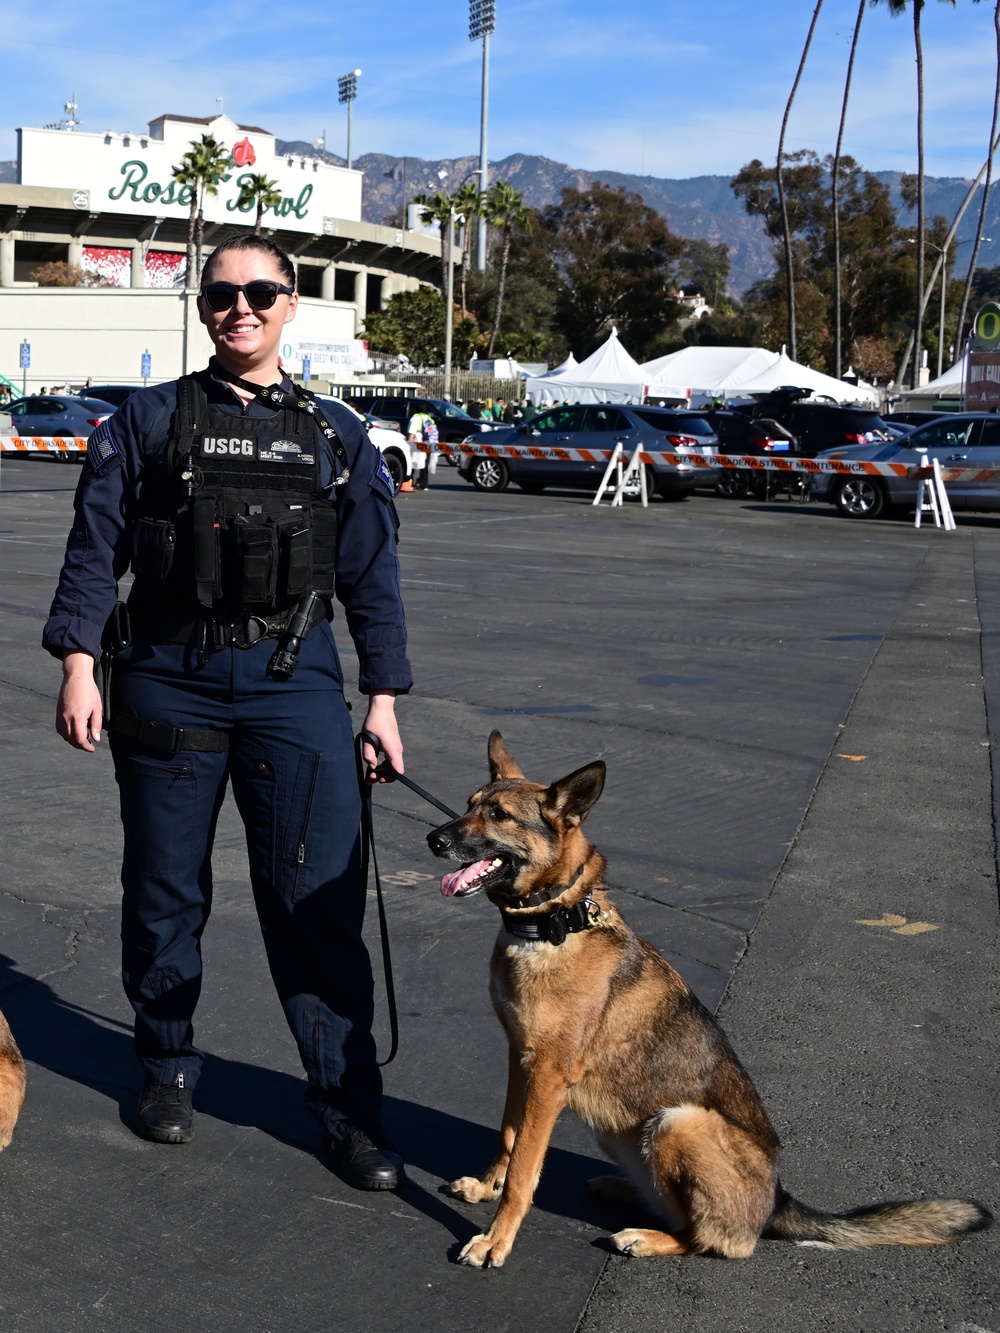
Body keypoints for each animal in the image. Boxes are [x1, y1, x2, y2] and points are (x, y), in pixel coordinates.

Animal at [429, 730, 997, 1269]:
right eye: (468, 804)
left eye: (499, 815)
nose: (433, 838)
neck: (552, 925)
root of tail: (776, 1200)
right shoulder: (520, 1060)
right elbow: (509, 1135)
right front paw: (486, 1187)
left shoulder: (547, 1077)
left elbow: (526, 1169)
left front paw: (496, 1239)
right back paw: (626, 1190)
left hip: (679, 1122)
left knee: (716, 1241)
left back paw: (647, 1236)